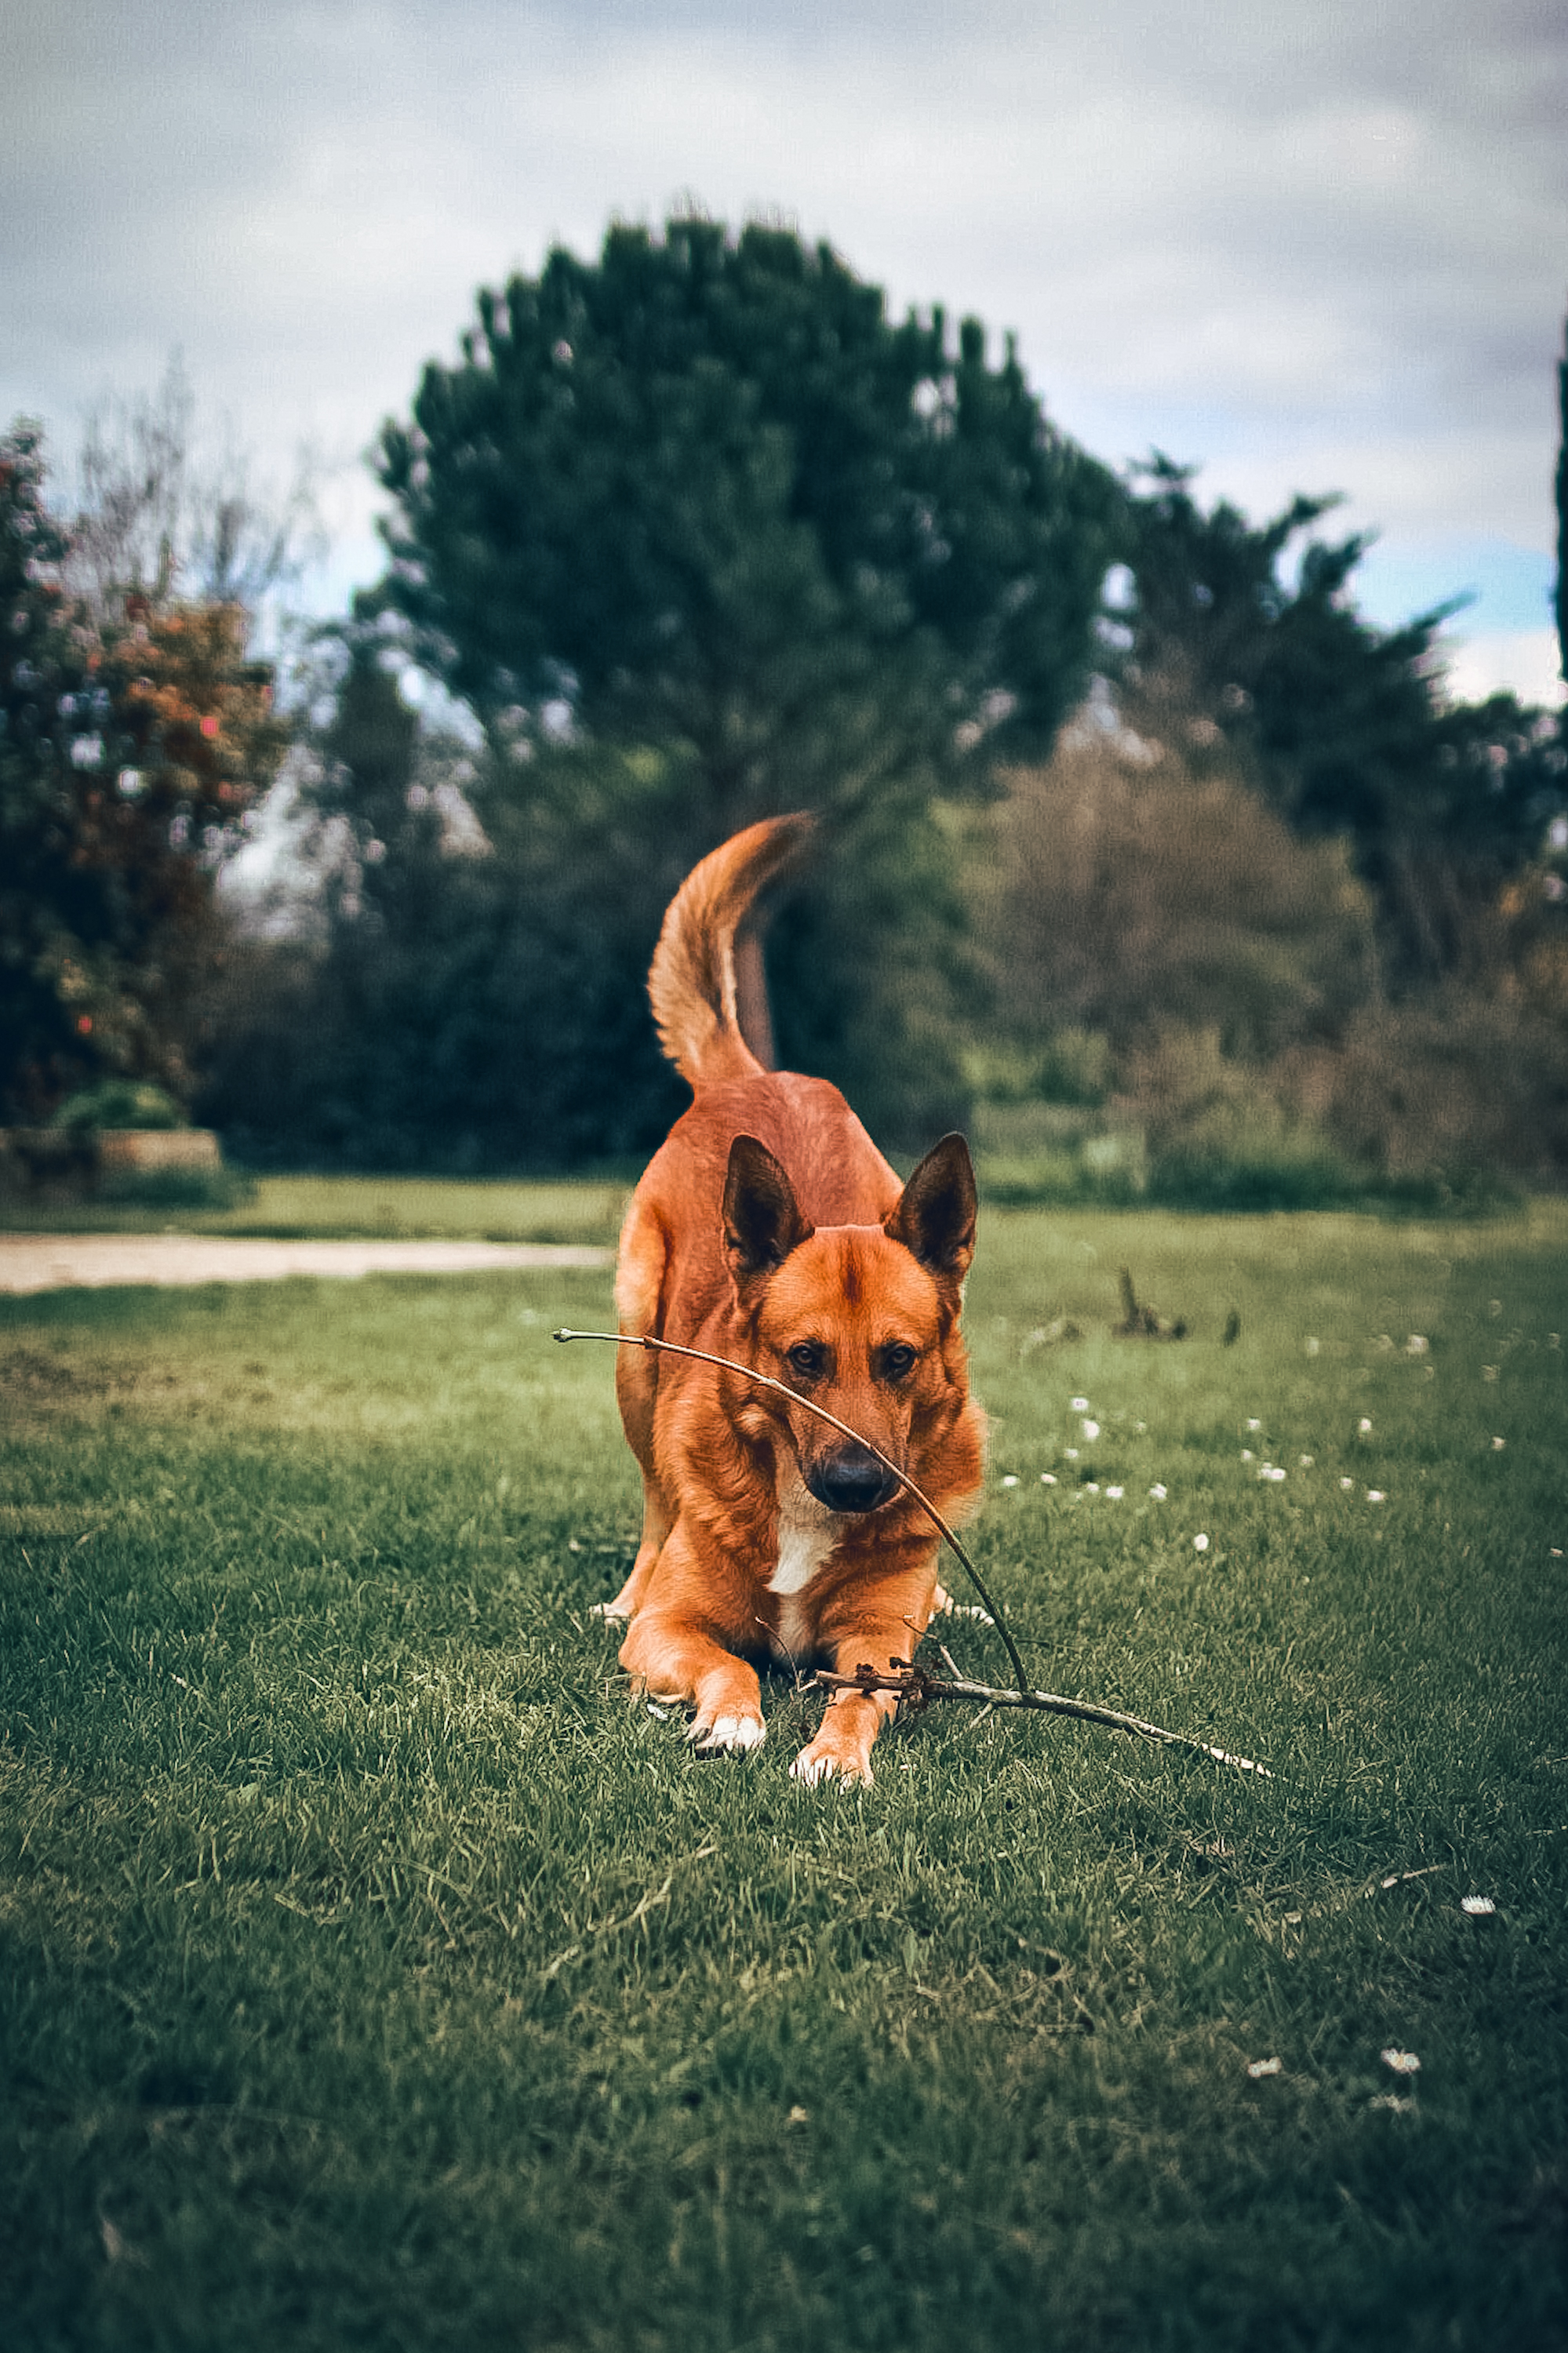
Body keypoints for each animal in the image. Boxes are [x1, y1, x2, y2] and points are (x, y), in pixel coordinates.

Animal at [602, 814, 984, 1779]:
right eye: (802, 1358)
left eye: (899, 1359)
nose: (855, 1484)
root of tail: (753, 1074)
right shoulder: (671, 1630)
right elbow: (730, 1659)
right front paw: (734, 1718)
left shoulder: (877, 1642)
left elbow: (865, 1690)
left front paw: (836, 1755)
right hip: (634, 1349)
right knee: (654, 1504)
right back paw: (623, 1588)